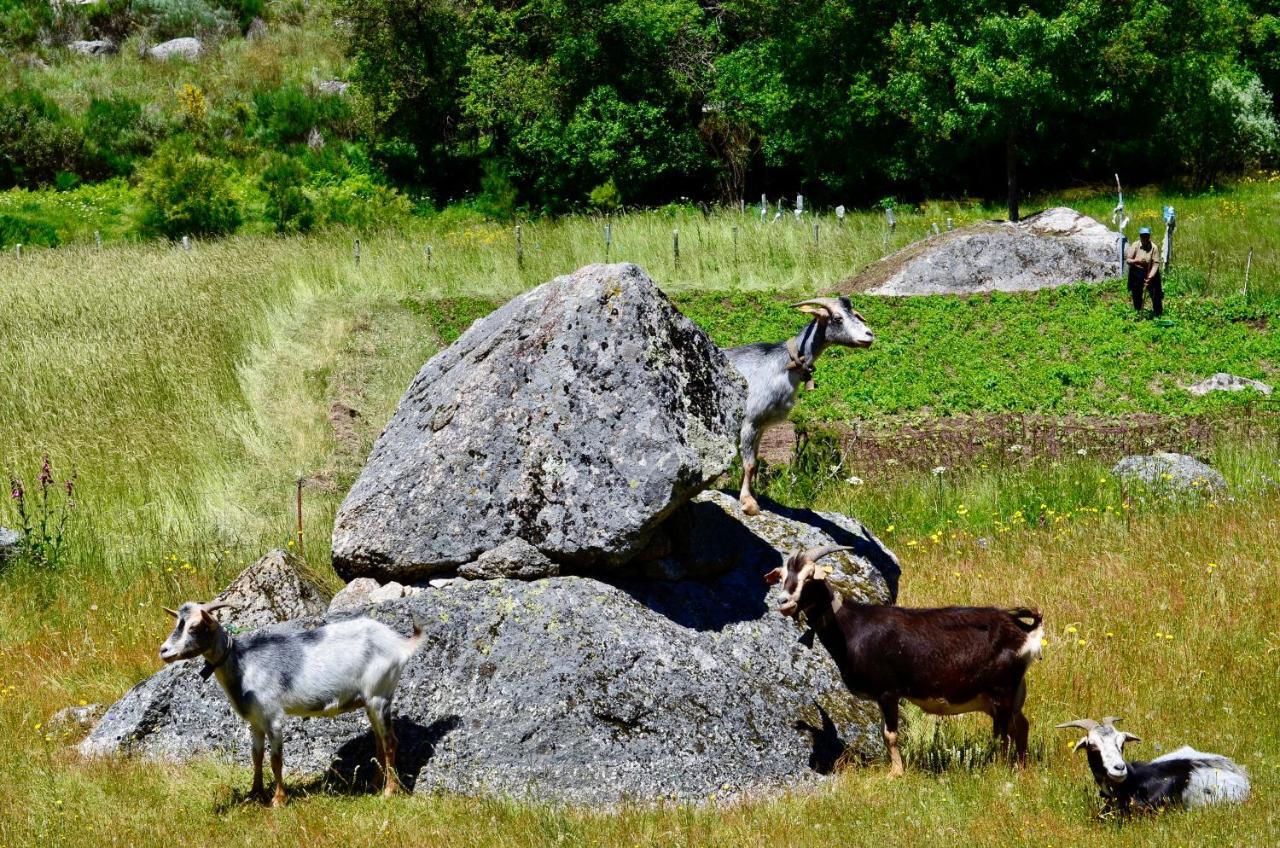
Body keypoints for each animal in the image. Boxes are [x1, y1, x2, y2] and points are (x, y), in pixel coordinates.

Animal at [160, 602, 424, 809]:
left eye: (195, 627)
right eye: (177, 624)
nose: (163, 651)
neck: (244, 664)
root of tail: (399, 644)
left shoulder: (273, 716)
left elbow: (276, 759)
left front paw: (278, 800)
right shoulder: (255, 721)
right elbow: (256, 756)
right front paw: (254, 794)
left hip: (379, 696)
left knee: (390, 741)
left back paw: (389, 792)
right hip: (370, 702)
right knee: (379, 742)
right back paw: (374, 786)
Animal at [727, 295, 875, 514]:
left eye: (855, 314)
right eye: (837, 318)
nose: (869, 335)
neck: (781, 366)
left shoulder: (761, 425)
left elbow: (754, 461)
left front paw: (752, 495)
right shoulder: (749, 421)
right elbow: (750, 464)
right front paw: (748, 503)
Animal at [762, 548, 1044, 778]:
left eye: (810, 576)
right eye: (782, 575)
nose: (783, 602)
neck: (852, 626)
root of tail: (1024, 631)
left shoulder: (888, 691)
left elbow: (890, 734)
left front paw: (896, 774)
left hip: (1001, 690)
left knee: (1004, 731)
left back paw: (1001, 770)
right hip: (1004, 694)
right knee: (1021, 725)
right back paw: (1021, 768)